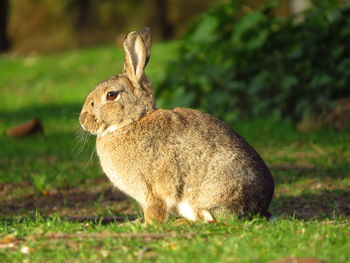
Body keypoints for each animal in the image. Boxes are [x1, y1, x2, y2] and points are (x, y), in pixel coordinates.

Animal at [80, 27, 274, 224]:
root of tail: (260, 208)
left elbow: (154, 209)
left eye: (111, 95)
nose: (83, 120)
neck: (132, 122)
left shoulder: (151, 188)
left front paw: (147, 225)